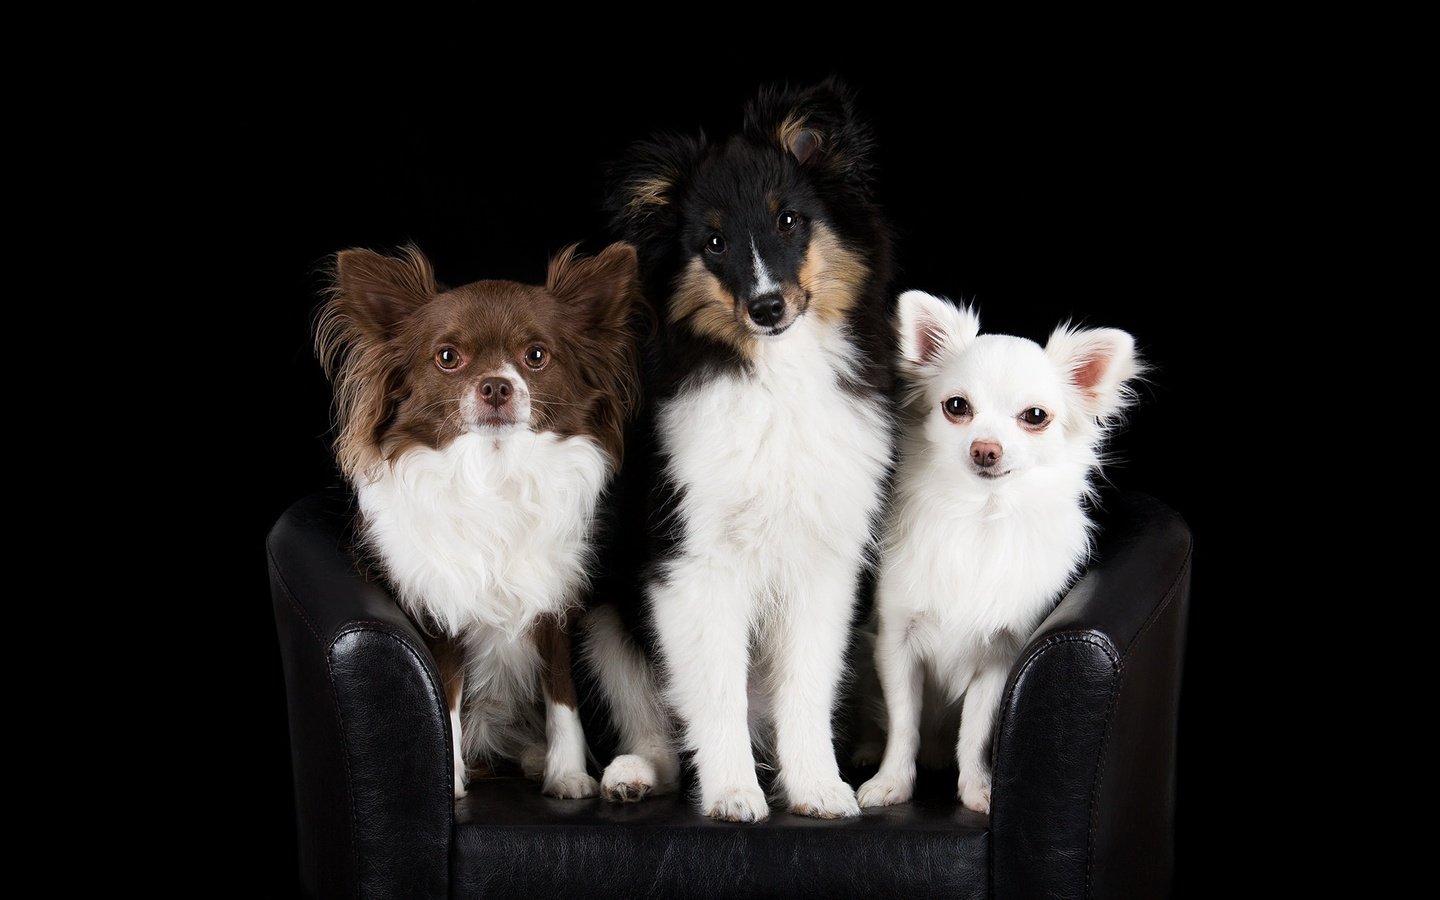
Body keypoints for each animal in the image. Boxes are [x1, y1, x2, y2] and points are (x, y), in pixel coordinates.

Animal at [321, 241, 648, 794]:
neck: (495, 473)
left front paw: (568, 776)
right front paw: (450, 784)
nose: (496, 386)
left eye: (535, 356)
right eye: (447, 358)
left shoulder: (555, 606)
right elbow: (446, 698)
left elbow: (562, 694)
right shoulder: (438, 612)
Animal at [581, 80, 892, 817]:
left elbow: (806, 687)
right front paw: (731, 795)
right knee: (661, 728)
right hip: (603, 616)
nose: (767, 308)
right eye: (714, 242)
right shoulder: (694, 564)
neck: (777, 378)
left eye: (789, 221)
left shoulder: (822, 565)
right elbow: (715, 689)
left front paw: (819, 790)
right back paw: (633, 774)